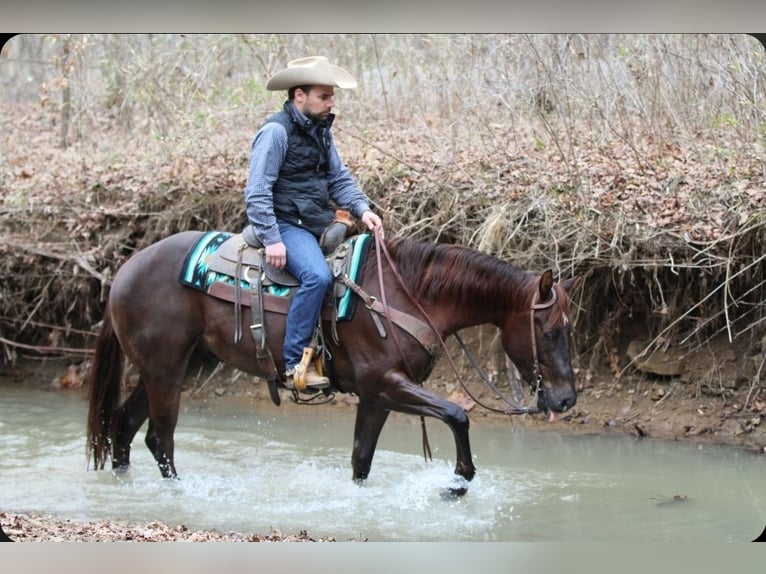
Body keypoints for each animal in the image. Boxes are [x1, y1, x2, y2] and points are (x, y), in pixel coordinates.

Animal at [86, 230, 577, 495]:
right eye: (550, 331)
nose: (567, 400)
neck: (405, 297)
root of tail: (125, 270)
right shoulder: (385, 384)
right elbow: (457, 414)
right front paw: (457, 482)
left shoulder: (377, 397)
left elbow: (361, 461)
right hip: (164, 372)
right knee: (160, 439)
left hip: (180, 368)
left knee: (124, 428)